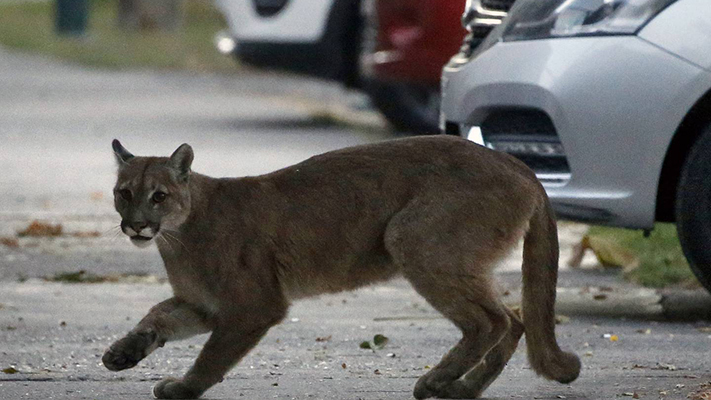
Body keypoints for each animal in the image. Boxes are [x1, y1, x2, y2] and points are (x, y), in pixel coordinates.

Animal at [101, 136, 580, 398]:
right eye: (124, 193)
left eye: (159, 195)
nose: (136, 224)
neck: (177, 236)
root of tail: (519, 164)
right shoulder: (205, 304)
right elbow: (158, 316)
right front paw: (123, 353)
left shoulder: (253, 306)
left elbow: (212, 355)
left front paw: (185, 388)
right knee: (515, 319)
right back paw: (461, 390)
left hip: (412, 238)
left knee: (490, 321)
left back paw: (436, 382)